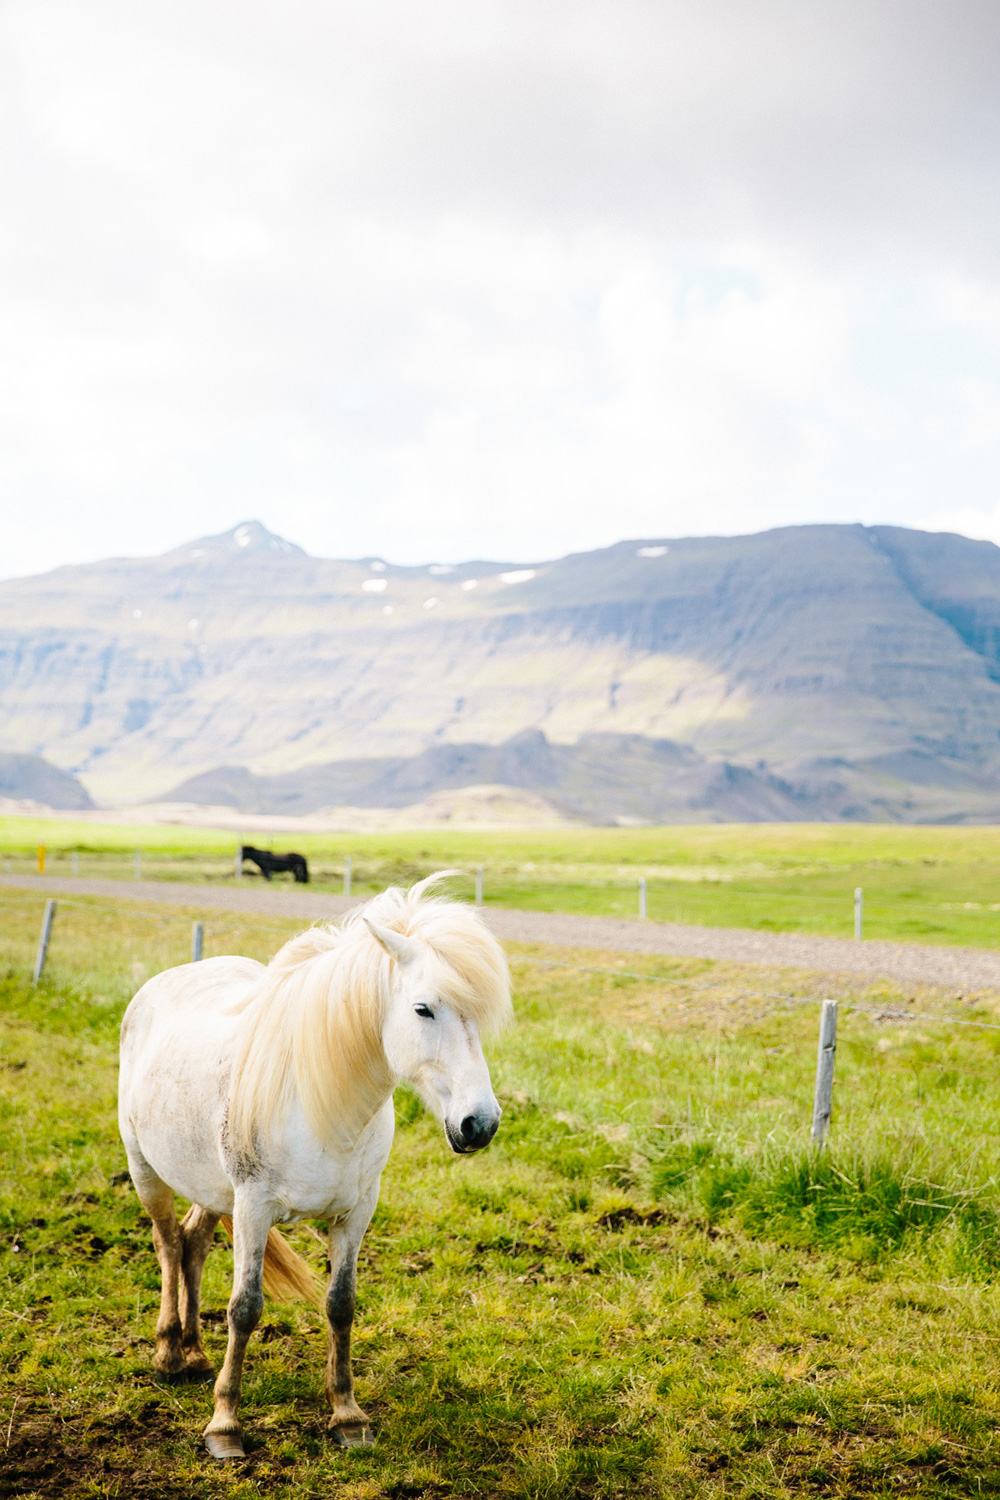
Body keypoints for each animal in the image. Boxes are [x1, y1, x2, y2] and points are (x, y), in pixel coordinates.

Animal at [117, 876, 509, 1458]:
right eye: (423, 1009)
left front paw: (347, 1415)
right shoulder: (253, 1208)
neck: (321, 1101)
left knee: (193, 1243)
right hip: (147, 1171)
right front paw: (224, 1425)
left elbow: (341, 1305)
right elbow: (245, 1307)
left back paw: (195, 1353)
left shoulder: (356, 1211)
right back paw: (168, 1355)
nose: (478, 1124)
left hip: (211, 1187)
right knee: (167, 1244)